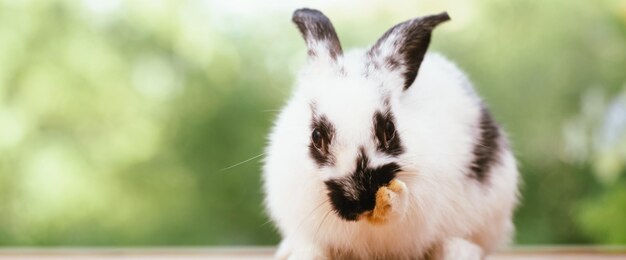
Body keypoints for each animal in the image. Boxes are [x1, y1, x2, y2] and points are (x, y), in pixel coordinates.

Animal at [260, 8, 520, 260]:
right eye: (316, 136)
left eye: (389, 129)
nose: (361, 201)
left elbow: (403, 207)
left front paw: (391, 201)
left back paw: (457, 251)